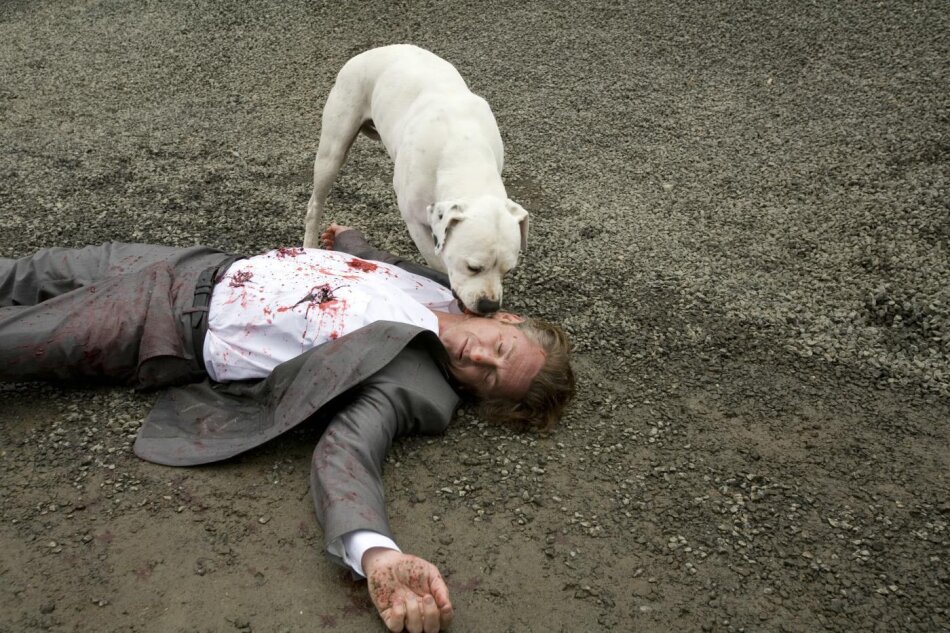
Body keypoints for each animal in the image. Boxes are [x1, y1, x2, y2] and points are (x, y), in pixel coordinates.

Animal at [303, 44, 528, 315]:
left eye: (509, 270)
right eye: (472, 267)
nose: (489, 306)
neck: (463, 148)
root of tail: (372, 51)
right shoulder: (416, 223)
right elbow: (439, 262)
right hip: (332, 150)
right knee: (315, 204)